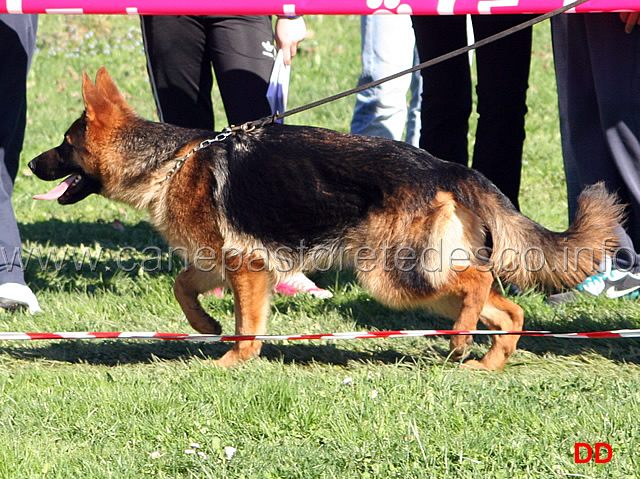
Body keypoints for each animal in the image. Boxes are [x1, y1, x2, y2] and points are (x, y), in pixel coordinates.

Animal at [30, 67, 624, 370]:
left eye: (63, 146)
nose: (30, 165)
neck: (168, 162)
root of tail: (446, 166)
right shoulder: (216, 262)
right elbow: (183, 287)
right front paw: (207, 328)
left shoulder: (246, 268)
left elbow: (247, 324)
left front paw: (233, 360)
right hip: (421, 280)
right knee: (508, 310)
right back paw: (486, 361)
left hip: (392, 277)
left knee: (478, 283)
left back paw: (461, 341)